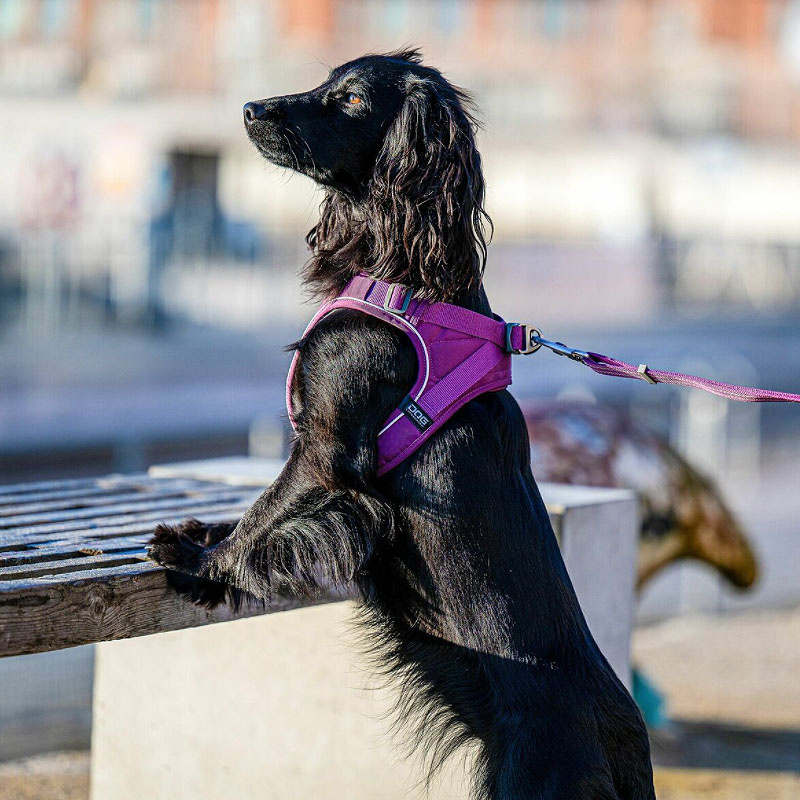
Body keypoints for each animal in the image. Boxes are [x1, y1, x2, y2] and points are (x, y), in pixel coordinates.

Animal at [147, 50, 652, 800]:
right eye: (328, 81)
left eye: (352, 98)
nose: (250, 109)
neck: (404, 275)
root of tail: (625, 741)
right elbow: (257, 505)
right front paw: (200, 533)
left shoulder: (327, 450)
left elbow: (269, 511)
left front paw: (201, 562)